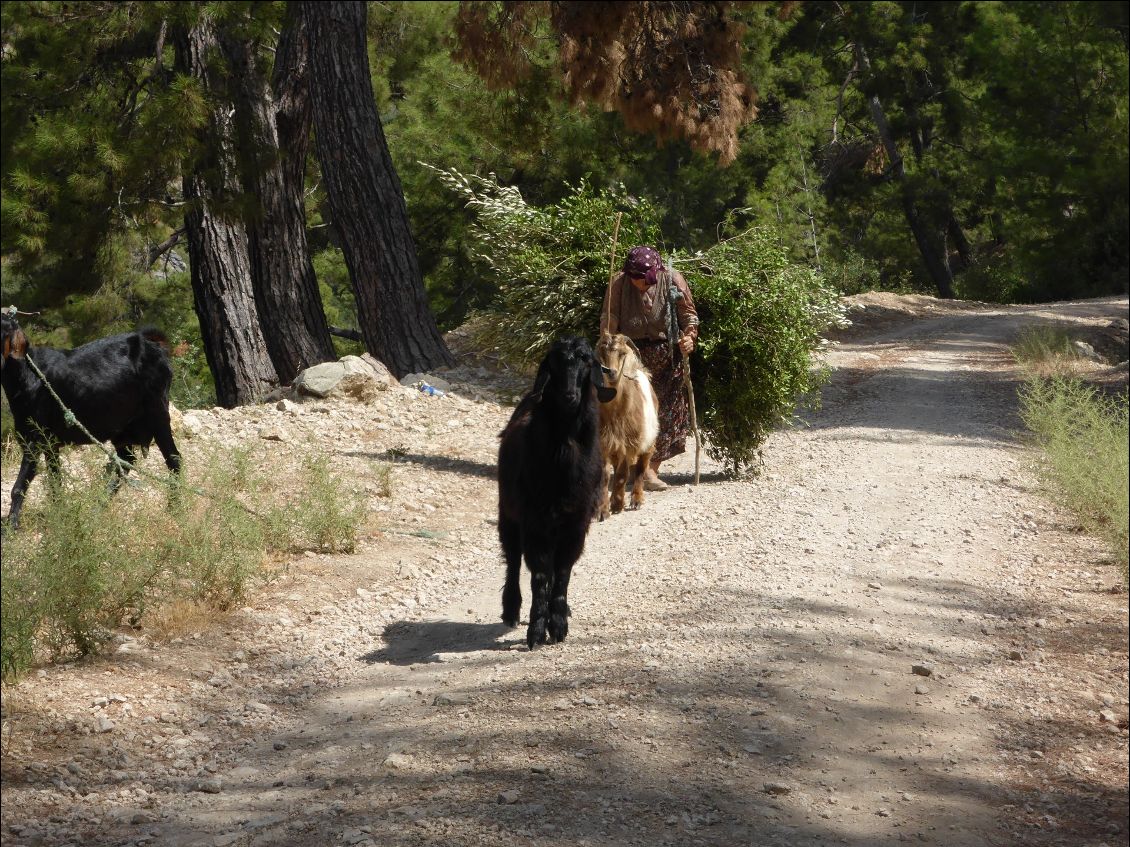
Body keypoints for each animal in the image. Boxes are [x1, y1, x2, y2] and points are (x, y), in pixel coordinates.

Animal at [2, 316, 181, 528]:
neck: (27, 375)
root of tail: (151, 344)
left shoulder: (35, 440)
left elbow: (19, 486)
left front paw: (11, 527)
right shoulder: (48, 442)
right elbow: (55, 481)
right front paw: (60, 515)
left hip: (157, 413)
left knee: (174, 459)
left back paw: (174, 509)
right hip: (122, 427)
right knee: (126, 461)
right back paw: (98, 507)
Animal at [497, 338, 614, 650]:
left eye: (586, 361)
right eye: (554, 362)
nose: (569, 395)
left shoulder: (576, 522)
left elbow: (562, 573)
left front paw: (559, 624)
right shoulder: (534, 520)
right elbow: (539, 575)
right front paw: (537, 631)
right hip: (508, 513)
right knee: (513, 559)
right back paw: (511, 611)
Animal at [596, 334, 659, 521]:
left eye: (622, 353)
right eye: (602, 352)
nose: (611, 372)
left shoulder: (628, 443)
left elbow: (623, 474)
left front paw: (617, 505)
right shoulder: (604, 443)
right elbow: (605, 475)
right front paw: (603, 510)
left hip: (649, 438)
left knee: (641, 466)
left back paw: (636, 499)